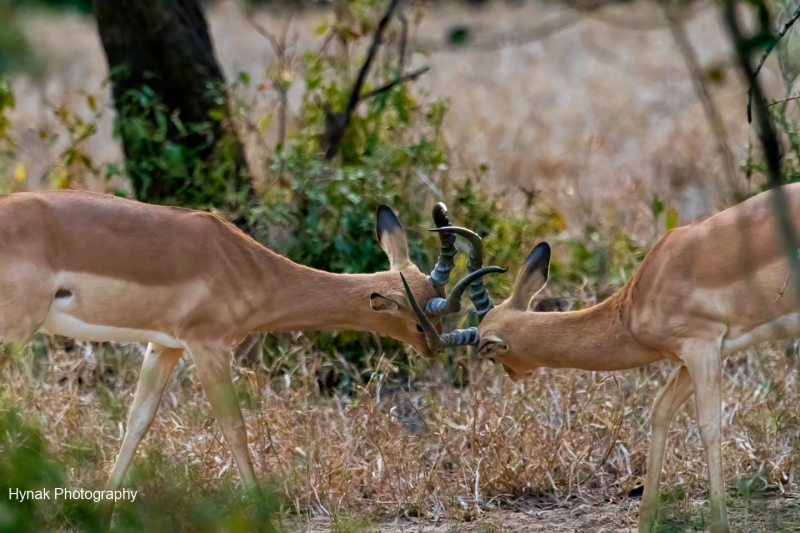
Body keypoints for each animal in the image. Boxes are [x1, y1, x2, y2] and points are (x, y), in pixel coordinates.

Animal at [0, 190, 494, 502]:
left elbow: (137, 422)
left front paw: (104, 505)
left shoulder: (164, 347)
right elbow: (235, 426)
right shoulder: (209, 346)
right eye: (421, 317)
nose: (436, 349)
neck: (246, 265)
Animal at [404, 184, 800, 532]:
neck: (638, 298)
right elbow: (660, 411)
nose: (515, 375)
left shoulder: (701, 345)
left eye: (489, 353)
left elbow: (708, 426)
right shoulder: (697, 355)